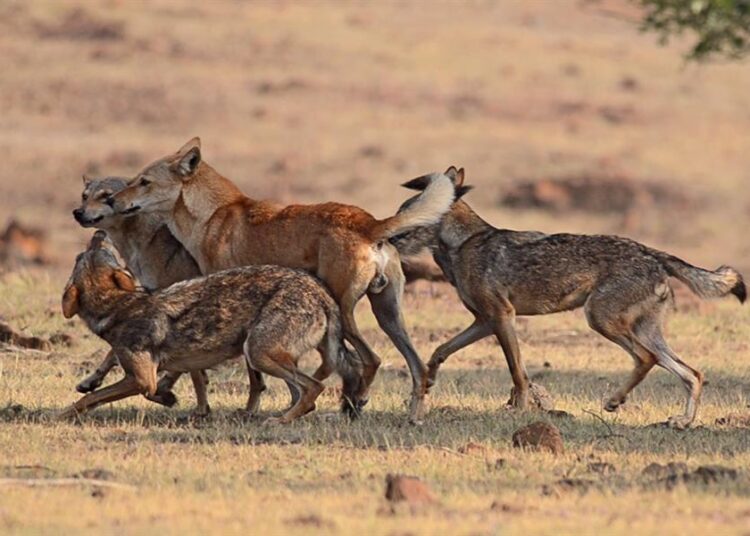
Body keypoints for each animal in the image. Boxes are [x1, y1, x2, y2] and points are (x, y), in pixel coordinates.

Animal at [60, 231, 364, 423]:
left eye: (82, 254)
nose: (99, 231)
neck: (115, 306)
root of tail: (320, 290)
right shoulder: (175, 365)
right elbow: (194, 386)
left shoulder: (142, 379)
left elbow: (92, 398)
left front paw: (63, 414)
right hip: (268, 354)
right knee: (302, 394)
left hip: (257, 352)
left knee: (312, 389)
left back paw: (278, 420)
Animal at [109, 138, 460, 423]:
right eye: (135, 180)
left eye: (144, 182)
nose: (112, 201)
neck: (213, 215)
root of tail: (371, 223)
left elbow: (252, 379)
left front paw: (248, 411)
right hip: (387, 315)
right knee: (416, 368)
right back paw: (410, 416)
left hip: (345, 313)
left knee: (368, 361)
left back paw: (351, 404)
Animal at [392, 167, 745, 429]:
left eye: (411, 215)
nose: (389, 234)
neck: (463, 244)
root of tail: (652, 252)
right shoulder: (484, 321)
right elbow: (439, 351)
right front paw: (427, 384)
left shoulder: (502, 317)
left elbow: (518, 373)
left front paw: (518, 411)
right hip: (642, 331)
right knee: (691, 373)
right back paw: (683, 421)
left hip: (600, 319)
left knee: (647, 359)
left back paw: (615, 401)